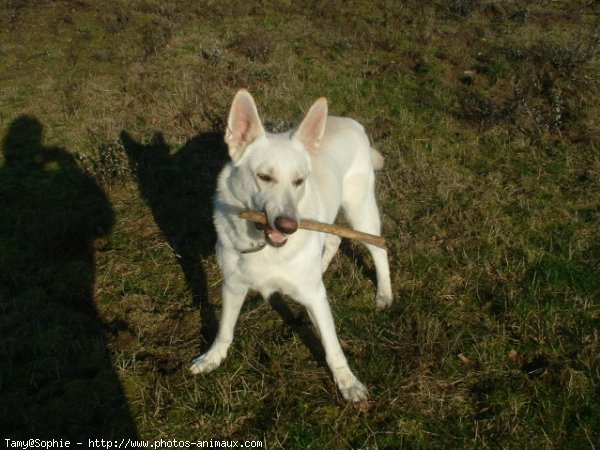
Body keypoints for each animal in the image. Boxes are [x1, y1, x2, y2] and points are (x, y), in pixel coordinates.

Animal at [190, 89, 392, 402]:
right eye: (264, 177)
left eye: (299, 181)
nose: (289, 225)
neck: (264, 247)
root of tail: (351, 122)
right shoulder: (232, 286)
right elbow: (224, 330)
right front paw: (212, 358)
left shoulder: (316, 298)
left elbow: (333, 347)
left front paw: (347, 382)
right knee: (334, 238)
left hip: (361, 213)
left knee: (378, 248)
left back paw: (384, 293)